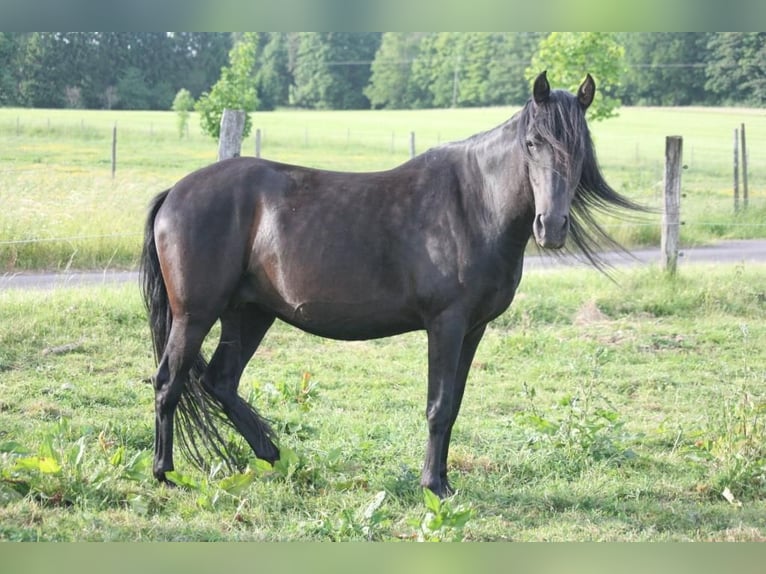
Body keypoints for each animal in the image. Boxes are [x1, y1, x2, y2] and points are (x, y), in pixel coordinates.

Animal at [142, 72, 640, 498]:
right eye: (533, 142)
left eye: (580, 147)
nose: (551, 227)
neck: (474, 204)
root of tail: (175, 193)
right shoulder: (446, 325)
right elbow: (438, 406)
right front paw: (433, 485)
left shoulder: (474, 329)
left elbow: (454, 405)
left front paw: (444, 479)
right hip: (195, 315)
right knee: (169, 382)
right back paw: (165, 473)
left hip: (250, 314)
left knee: (219, 382)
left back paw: (274, 455)